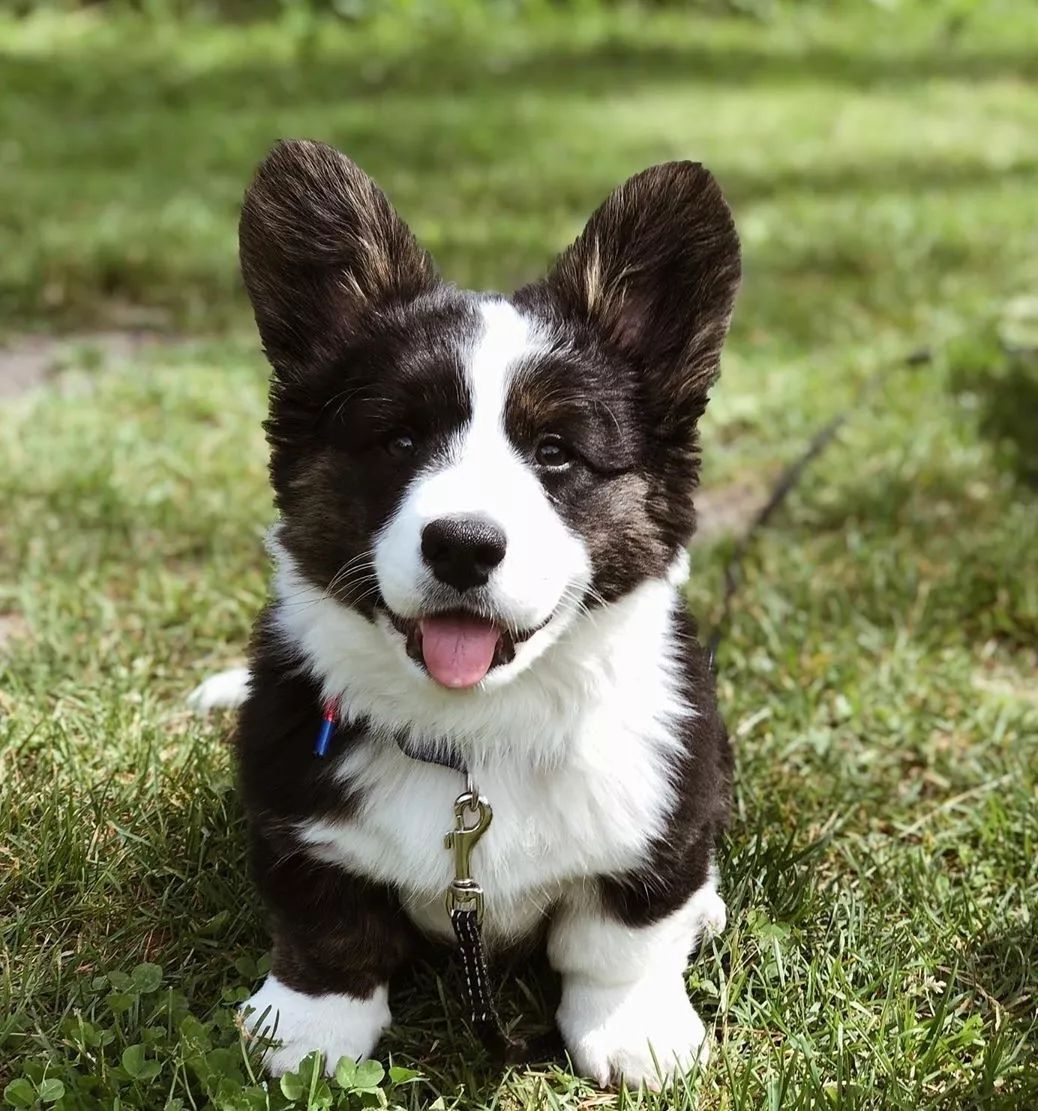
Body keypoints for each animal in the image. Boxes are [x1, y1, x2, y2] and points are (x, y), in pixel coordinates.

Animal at [186, 136, 737, 1084]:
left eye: (555, 451)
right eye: (400, 438)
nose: (464, 546)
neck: (478, 736)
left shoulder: (661, 818)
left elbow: (619, 938)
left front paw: (633, 1028)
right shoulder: (297, 821)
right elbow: (328, 927)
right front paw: (308, 1028)